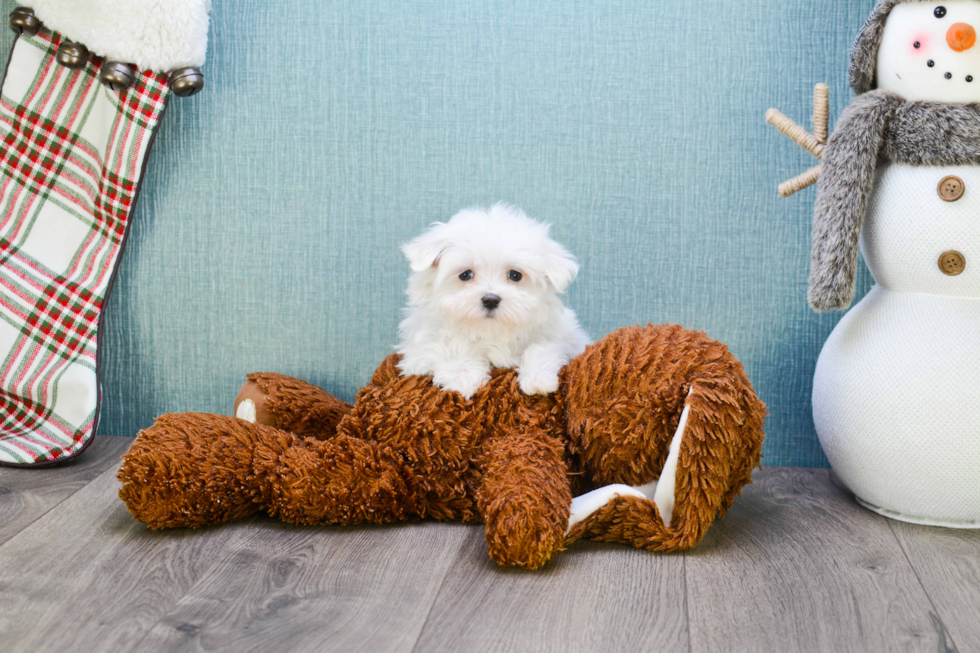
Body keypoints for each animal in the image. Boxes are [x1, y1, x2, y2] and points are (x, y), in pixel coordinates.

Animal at [396, 204, 588, 398]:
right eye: (466, 274)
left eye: (515, 275)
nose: (490, 300)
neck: (491, 331)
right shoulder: (419, 349)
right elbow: (447, 347)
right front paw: (463, 377)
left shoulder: (564, 338)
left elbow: (543, 347)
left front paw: (538, 379)